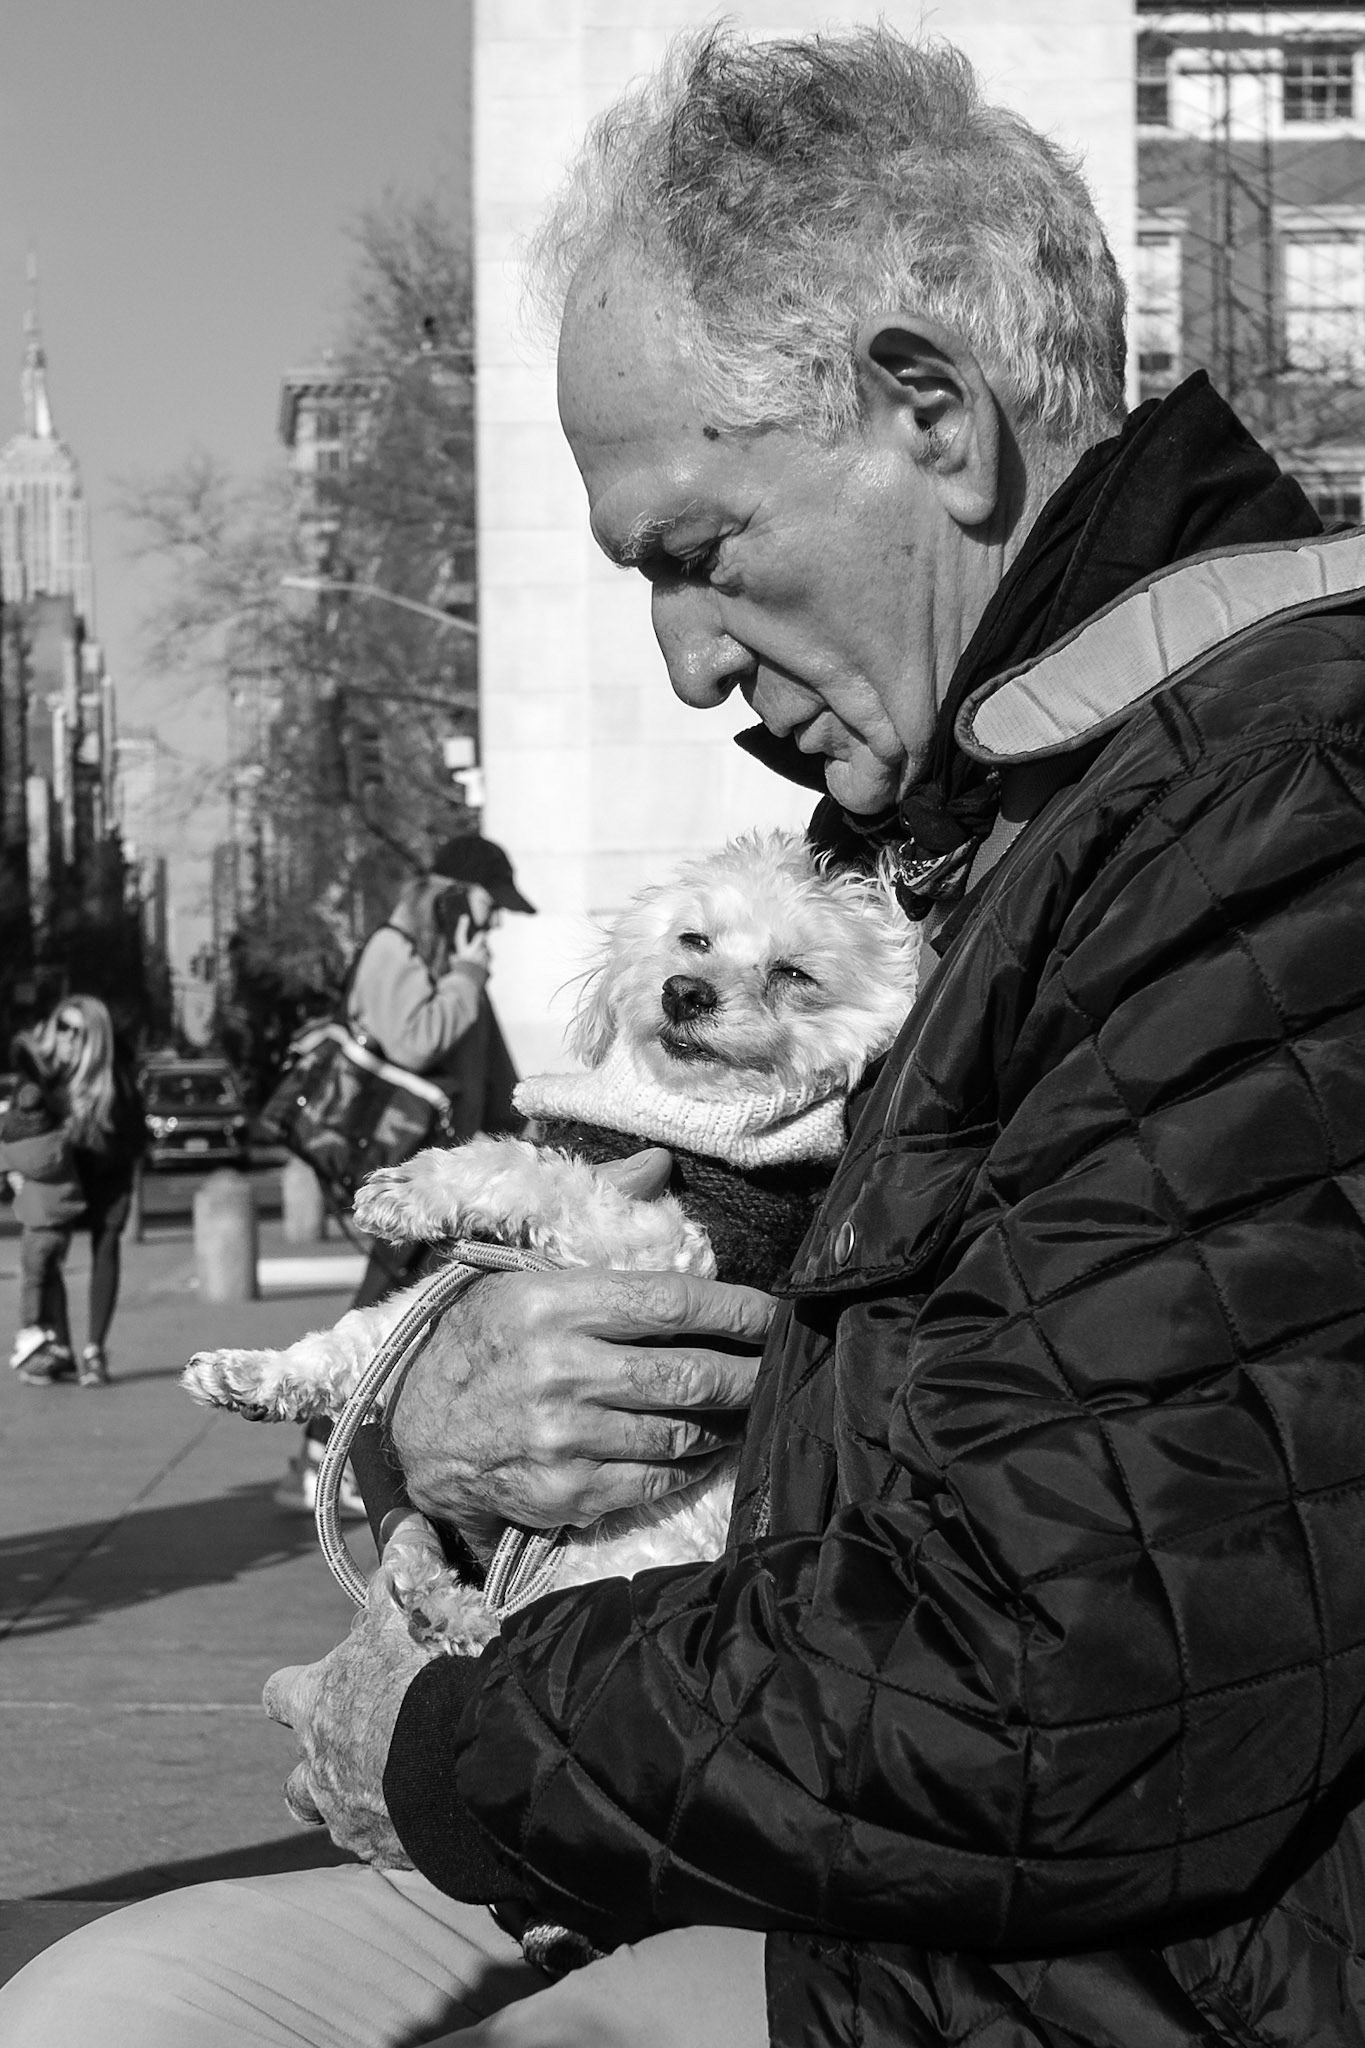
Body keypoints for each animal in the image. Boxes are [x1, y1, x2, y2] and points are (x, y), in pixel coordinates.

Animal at [183, 831, 922, 1651]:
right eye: (693, 940)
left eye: (794, 974)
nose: (684, 991)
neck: (679, 1118)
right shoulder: (451, 1286)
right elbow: (365, 1336)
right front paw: (261, 1373)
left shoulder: (682, 1241)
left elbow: (529, 1168)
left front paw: (418, 1187)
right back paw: (435, 1598)